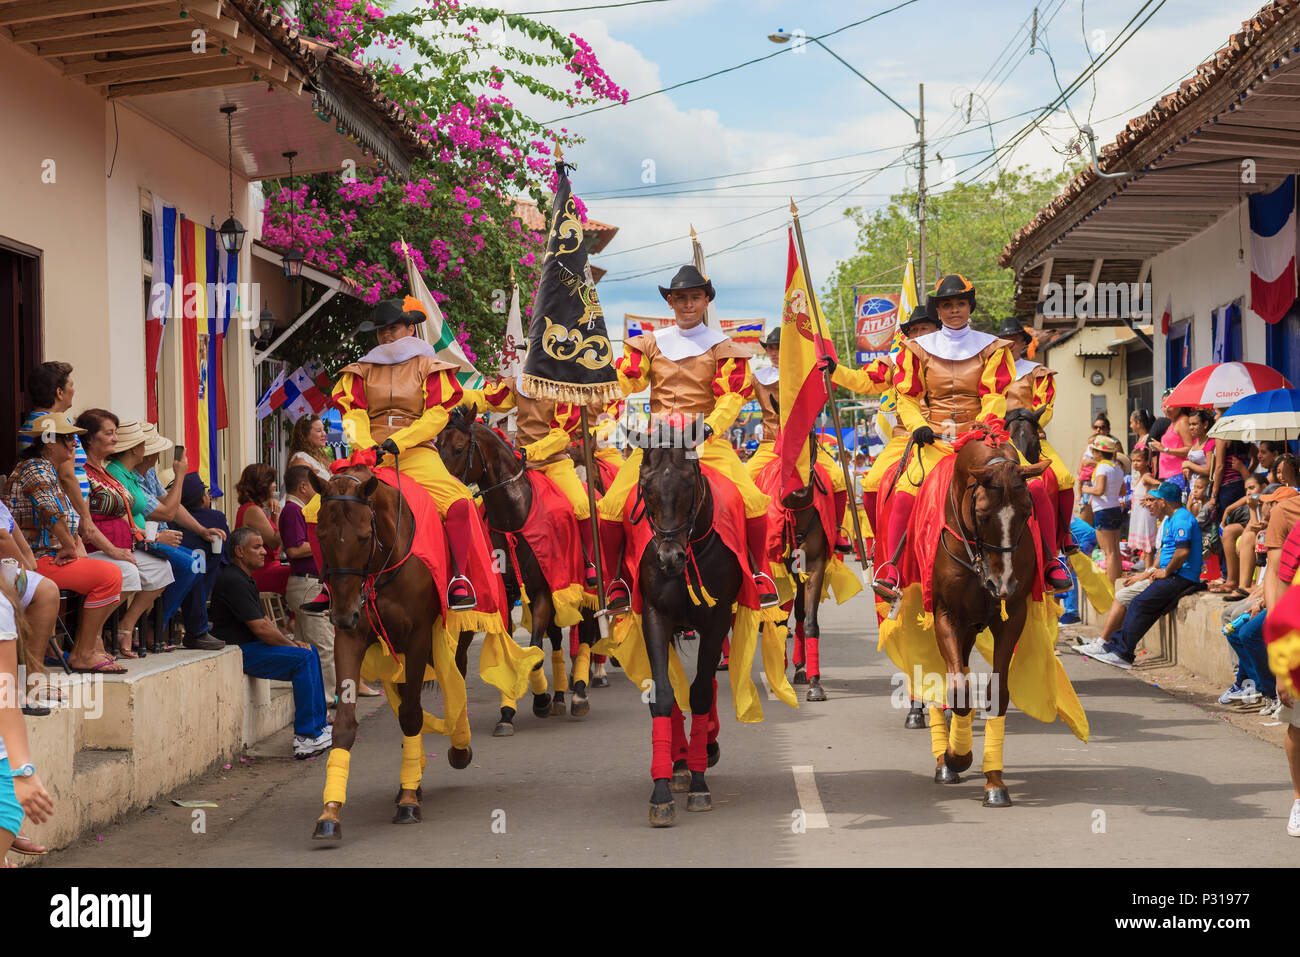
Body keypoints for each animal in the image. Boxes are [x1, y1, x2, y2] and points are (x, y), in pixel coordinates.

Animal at [306, 468, 475, 842]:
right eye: (320, 536)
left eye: (363, 537)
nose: (342, 615)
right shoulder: (352, 636)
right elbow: (345, 724)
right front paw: (329, 813)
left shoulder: (418, 637)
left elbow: (412, 715)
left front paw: (409, 801)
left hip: (456, 639)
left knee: (456, 686)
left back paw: (458, 748)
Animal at [436, 403, 598, 733]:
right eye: (436, 446)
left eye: (458, 448)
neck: (515, 516)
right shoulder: (509, 594)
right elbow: (512, 651)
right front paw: (509, 712)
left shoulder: (545, 591)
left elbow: (535, 652)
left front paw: (539, 700)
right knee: (558, 639)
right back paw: (559, 696)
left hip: (583, 589)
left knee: (585, 635)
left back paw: (578, 694)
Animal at [930, 429, 1050, 806]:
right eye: (983, 515)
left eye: (1026, 512)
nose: (1003, 584)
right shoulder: (946, 616)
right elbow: (957, 689)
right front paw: (955, 756)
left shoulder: (1011, 618)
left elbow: (997, 692)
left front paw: (994, 781)